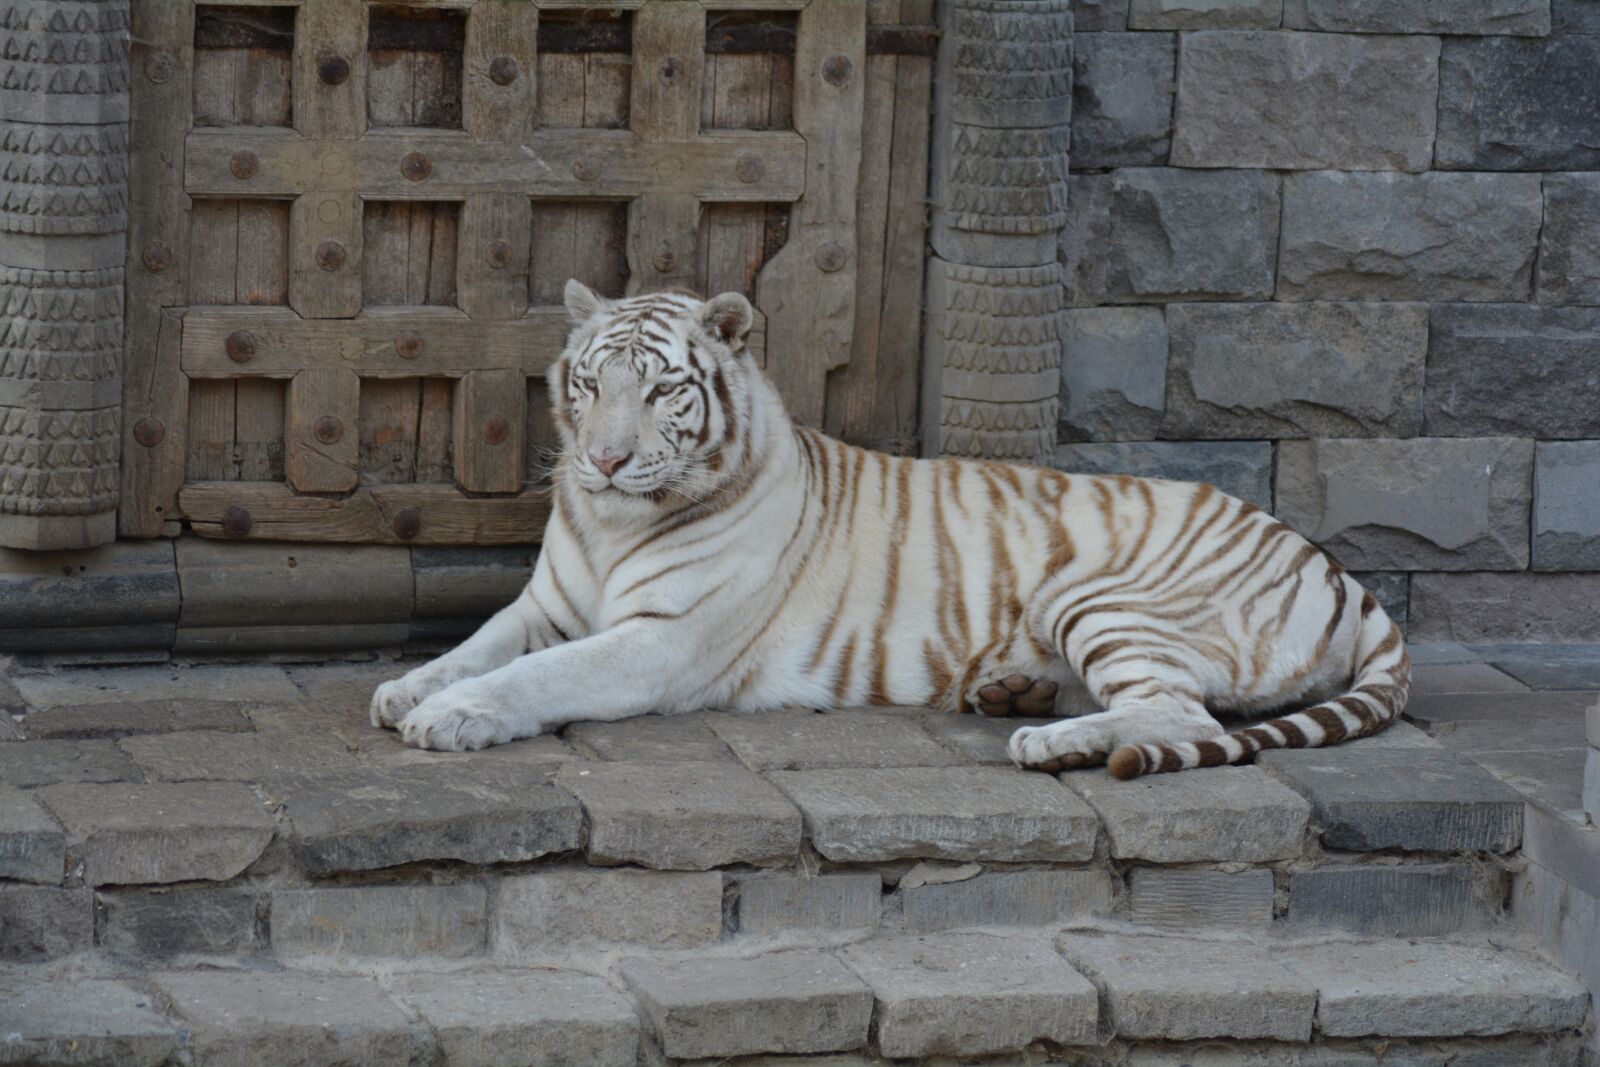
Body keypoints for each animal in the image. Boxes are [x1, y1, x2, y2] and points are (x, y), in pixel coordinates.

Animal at [370, 280, 1410, 779]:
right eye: (588, 383)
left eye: (662, 390)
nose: (607, 461)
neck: (611, 525)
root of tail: (1341, 574)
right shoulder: (549, 603)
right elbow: (481, 642)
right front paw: (407, 688)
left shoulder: (659, 643)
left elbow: (538, 675)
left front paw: (452, 716)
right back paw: (1015, 692)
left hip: (1100, 593)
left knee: (1181, 710)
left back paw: (1047, 741)